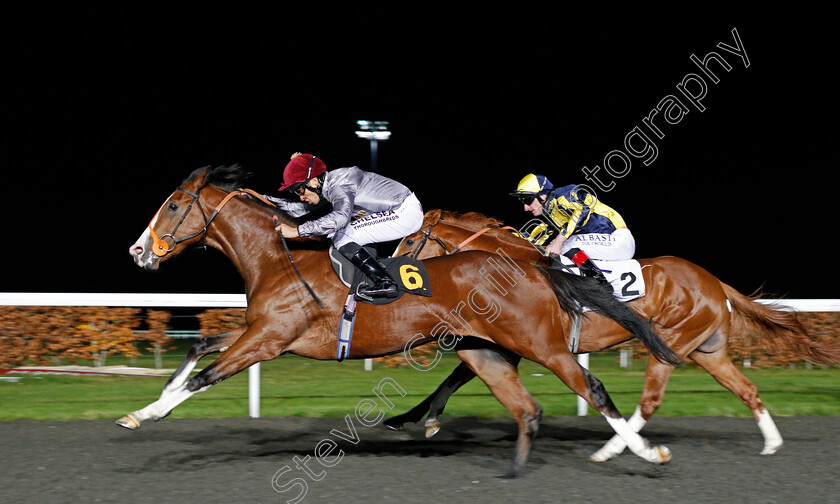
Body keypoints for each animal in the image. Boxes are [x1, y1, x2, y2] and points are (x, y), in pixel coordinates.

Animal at [120, 165, 684, 476]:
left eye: (173, 206)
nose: (138, 250)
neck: (278, 257)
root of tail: (534, 268)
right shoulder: (259, 331)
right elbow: (200, 348)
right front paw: (154, 400)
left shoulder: (270, 338)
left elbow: (208, 374)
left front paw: (146, 412)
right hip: (483, 345)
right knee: (527, 400)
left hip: (540, 343)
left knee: (592, 386)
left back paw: (643, 453)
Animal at [388, 209, 840, 460]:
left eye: (409, 241)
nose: (389, 273)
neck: (508, 268)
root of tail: (713, 282)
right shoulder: (507, 341)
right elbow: (455, 378)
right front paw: (413, 419)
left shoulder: (524, 341)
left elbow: (459, 375)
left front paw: (418, 419)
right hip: (706, 351)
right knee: (745, 389)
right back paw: (771, 444)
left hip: (670, 345)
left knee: (650, 401)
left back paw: (613, 450)